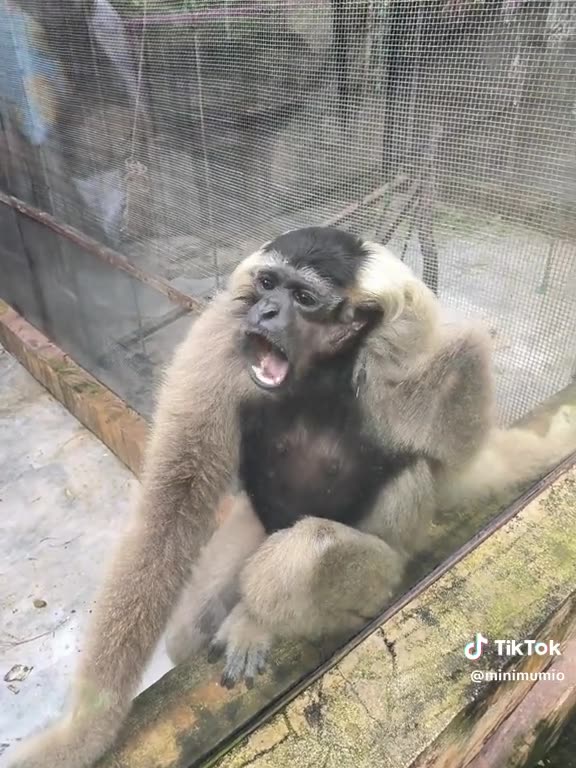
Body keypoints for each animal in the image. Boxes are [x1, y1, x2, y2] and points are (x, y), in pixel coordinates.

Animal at [8, 226, 576, 768]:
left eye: (303, 297)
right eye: (267, 284)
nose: (265, 311)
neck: (319, 374)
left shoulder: (407, 353)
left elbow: (455, 449)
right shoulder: (222, 334)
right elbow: (173, 500)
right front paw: (84, 734)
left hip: (385, 575)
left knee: (342, 531)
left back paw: (254, 619)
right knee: (191, 625)